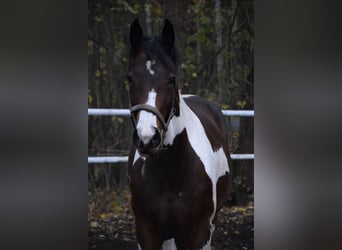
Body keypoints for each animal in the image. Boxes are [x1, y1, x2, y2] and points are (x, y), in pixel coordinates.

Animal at [127, 18, 231, 249]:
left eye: (171, 79)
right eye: (130, 78)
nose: (147, 138)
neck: (170, 170)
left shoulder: (200, 232)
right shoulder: (146, 232)